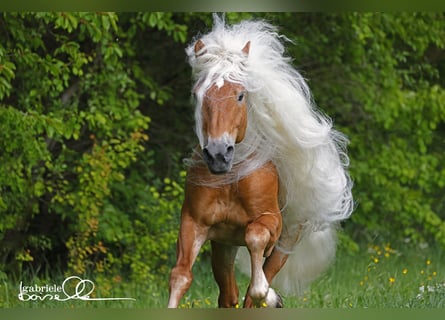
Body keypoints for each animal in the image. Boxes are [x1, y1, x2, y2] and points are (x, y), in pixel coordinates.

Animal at [168, 15, 352, 308]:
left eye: (240, 95)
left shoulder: (270, 222)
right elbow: (181, 276)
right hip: (223, 246)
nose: (218, 155)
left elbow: (255, 248)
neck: (233, 178)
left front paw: (271, 294)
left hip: (285, 242)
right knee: (229, 295)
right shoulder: (194, 223)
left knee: (253, 288)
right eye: (198, 94)